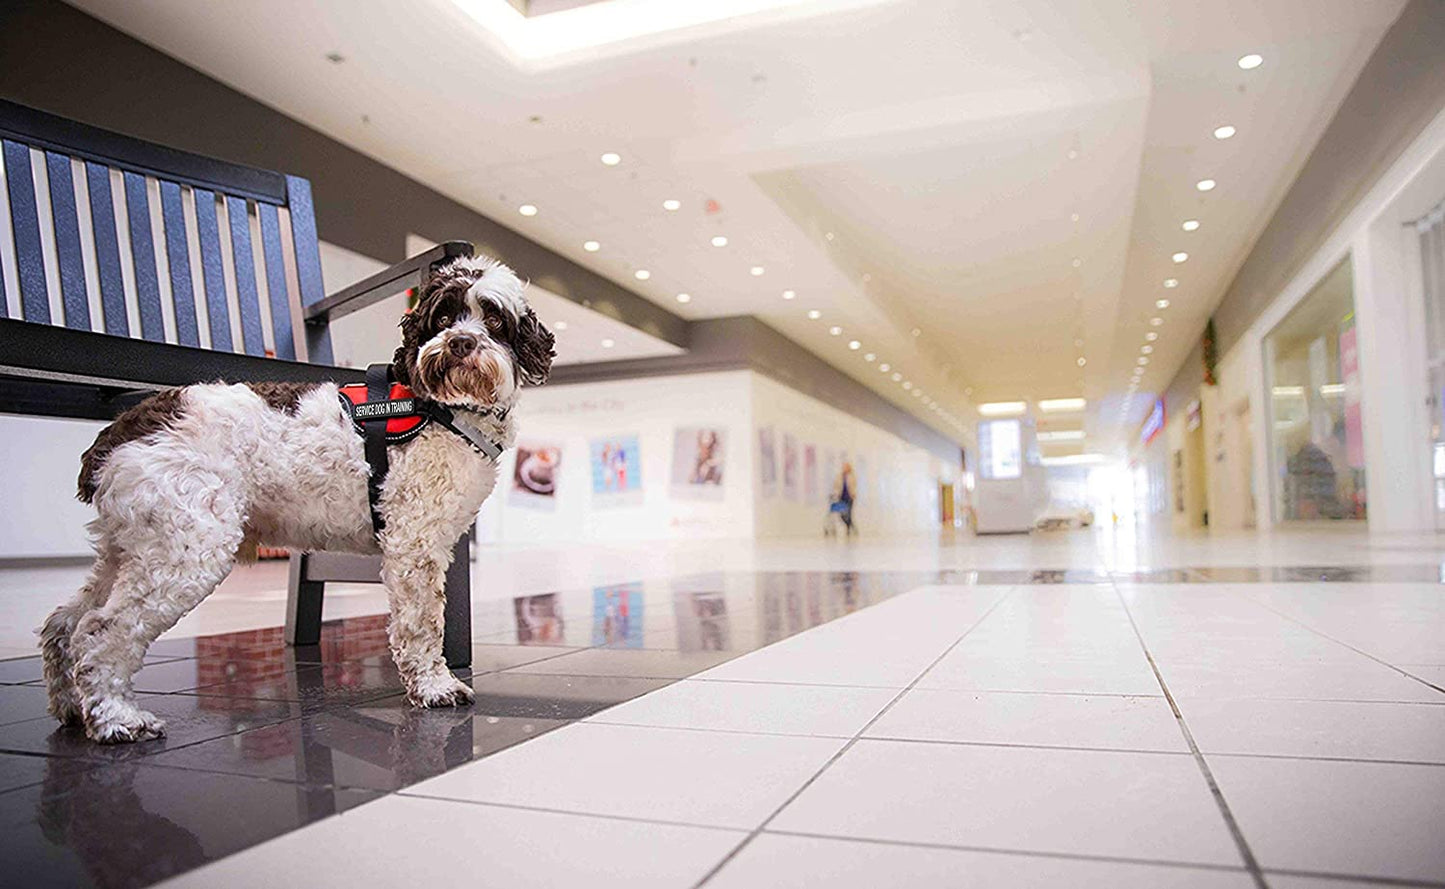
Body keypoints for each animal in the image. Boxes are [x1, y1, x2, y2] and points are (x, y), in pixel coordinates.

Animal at [38, 257, 557, 745]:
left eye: (493, 320)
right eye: (443, 317)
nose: (459, 343)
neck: (443, 408)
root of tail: (122, 428)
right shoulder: (414, 546)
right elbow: (422, 623)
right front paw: (435, 686)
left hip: (131, 546)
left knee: (65, 622)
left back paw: (72, 708)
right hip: (186, 549)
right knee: (101, 629)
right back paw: (116, 719)